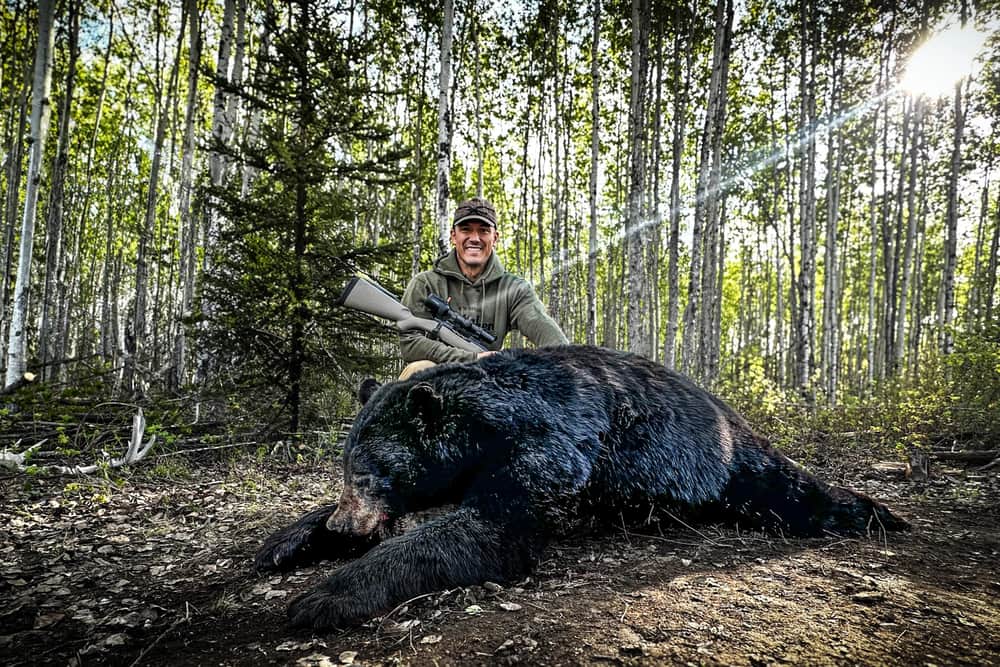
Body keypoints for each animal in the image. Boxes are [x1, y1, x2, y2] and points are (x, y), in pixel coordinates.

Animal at [255, 345, 908, 630]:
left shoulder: (546, 449)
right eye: (345, 470)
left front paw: (326, 594)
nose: (344, 527)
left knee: (788, 488)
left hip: (729, 460)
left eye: (371, 473)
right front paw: (288, 541)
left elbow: (492, 532)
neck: (484, 425)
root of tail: (729, 412)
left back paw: (877, 514)